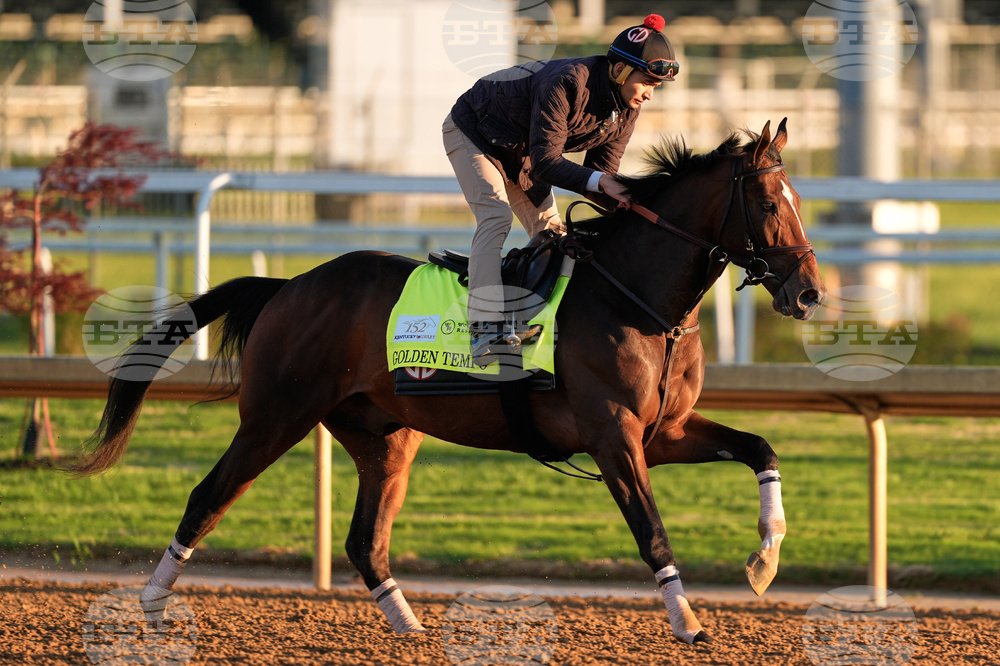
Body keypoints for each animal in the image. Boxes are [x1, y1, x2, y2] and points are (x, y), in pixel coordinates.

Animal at [75, 119, 825, 645]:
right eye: (767, 203)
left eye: (798, 199)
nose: (810, 293)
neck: (636, 300)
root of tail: (288, 284)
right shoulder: (613, 436)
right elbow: (653, 532)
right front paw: (688, 621)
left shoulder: (662, 432)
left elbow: (761, 448)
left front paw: (764, 559)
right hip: (275, 417)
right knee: (209, 495)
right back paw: (150, 604)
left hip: (384, 436)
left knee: (364, 540)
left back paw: (409, 626)